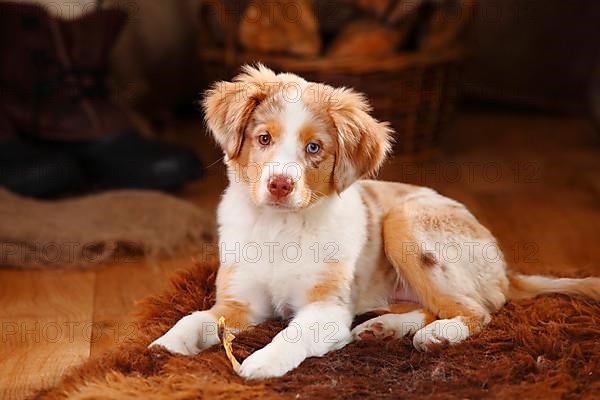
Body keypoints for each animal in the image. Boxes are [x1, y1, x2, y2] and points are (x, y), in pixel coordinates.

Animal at [149, 65, 596, 378]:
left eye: (314, 148)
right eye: (264, 138)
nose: (279, 184)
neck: (281, 227)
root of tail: (504, 268)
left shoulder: (327, 309)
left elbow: (291, 332)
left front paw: (261, 362)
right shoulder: (239, 302)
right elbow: (194, 318)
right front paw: (163, 347)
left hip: (405, 222)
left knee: (479, 309)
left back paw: (438, 334)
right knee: (431, 306)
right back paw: (384, 328)